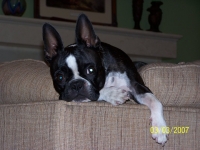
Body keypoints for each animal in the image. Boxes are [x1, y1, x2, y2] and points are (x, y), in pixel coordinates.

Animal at [43, 14, 168, 145]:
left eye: (91, 70)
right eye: (60, 77)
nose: (76, 84)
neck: (107, 76)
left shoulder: (137, 86)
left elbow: (155, 101)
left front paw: (160, 128)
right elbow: (100, 92)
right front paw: (113, 93)